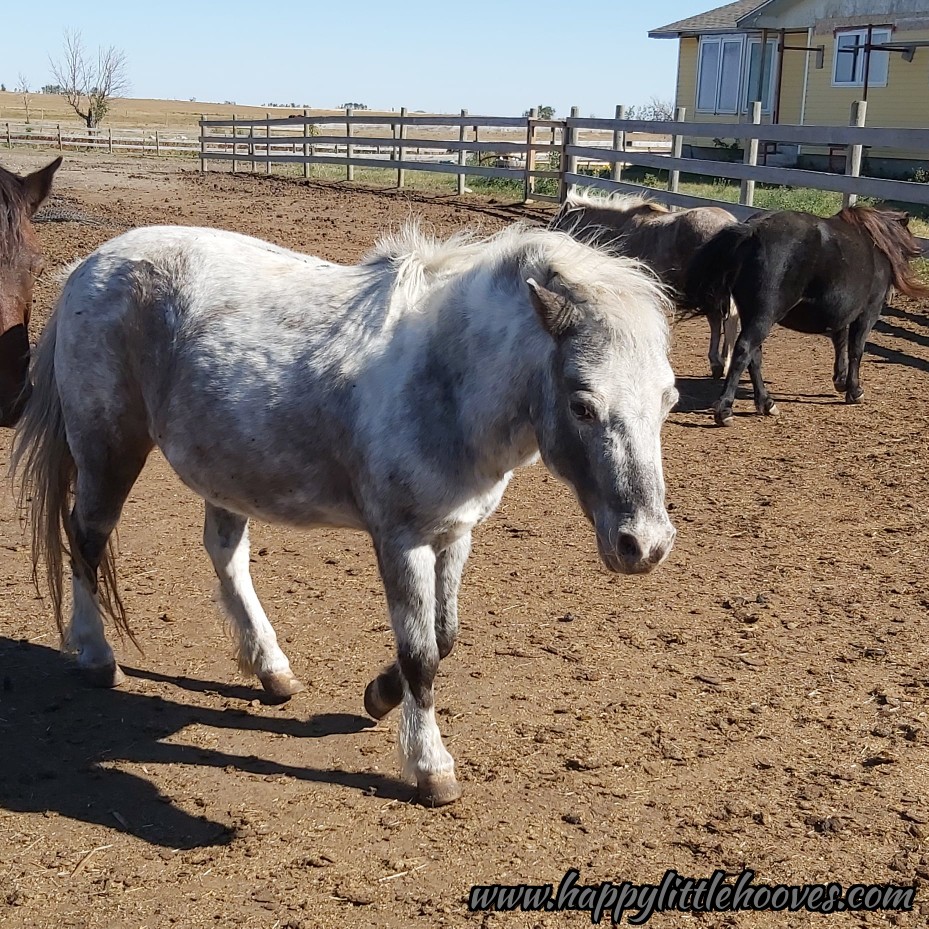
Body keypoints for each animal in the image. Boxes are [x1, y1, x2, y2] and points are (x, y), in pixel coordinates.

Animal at [13, 221, 678, 806]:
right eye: (583, 404)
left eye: (669, 398)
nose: (645, 544)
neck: (445, 377)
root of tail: (90, 265)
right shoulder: (402, 540)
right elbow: (422, 655)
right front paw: (430, 767)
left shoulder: (454, 533)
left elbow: (445, 636)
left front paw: (378, 697)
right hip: (108, 450)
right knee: (86, 540)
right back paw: (96, 656)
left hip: (224, 472)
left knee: (226, 555)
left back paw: (272, 670)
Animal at [686, 205, 929, 427]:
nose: (891, 295)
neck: (875, 245)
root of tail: (752, 230)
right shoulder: (868, 312)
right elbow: (856, 349)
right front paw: (854, 390)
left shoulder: (840, 314)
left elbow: (840, 343)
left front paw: (840, 381)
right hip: (763, 316)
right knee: (744, 351)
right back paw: (725, 409)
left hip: (751, 315)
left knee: (754, 357)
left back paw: (766, 403)